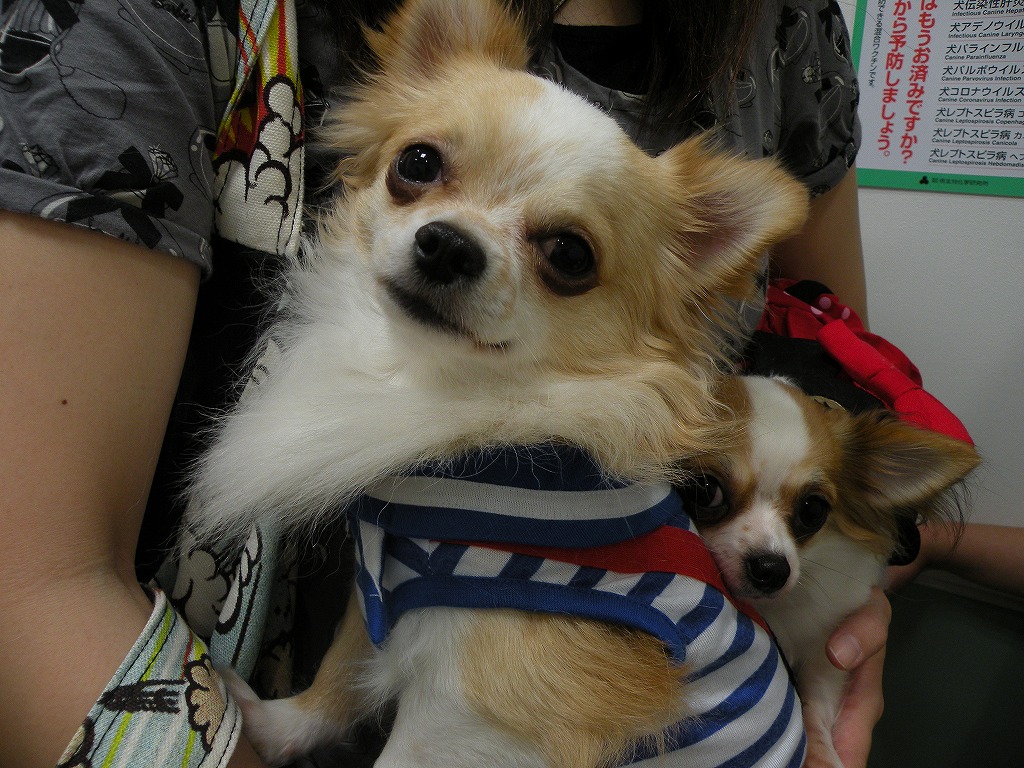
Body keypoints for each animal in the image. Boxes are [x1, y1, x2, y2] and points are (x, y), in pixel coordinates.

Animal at [679, 374, 979, 768]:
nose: (772, 568)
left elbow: (815, 706)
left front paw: (821, 754)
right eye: (705, 491)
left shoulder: (825, 652)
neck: (776, 611)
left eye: (812, 510)